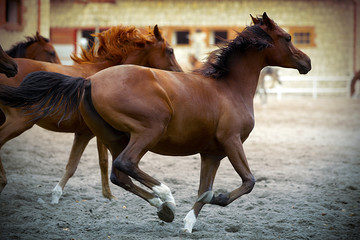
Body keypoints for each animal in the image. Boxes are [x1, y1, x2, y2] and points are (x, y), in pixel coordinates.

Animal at [0, 25, 181, 203]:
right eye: (170, 50)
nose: (179, 72)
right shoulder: (97, 134)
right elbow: (103, 161)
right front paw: (109, 195)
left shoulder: (85, 133)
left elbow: (75, 165)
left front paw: (58, 195)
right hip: (19, 122)